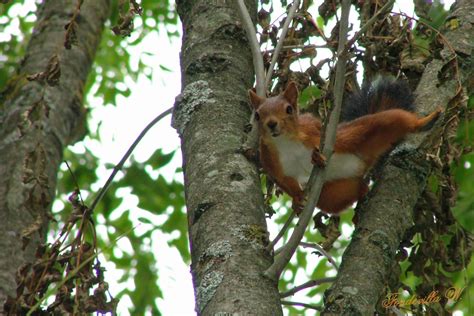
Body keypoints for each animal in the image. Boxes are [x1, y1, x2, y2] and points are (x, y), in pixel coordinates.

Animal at [248, 78, 440, 215]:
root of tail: (364, 164)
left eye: (289, 109)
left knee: (399, 119)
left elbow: (319, 133)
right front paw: (297, 199)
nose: (271, 124)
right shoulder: (270, 162)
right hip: (332, 194)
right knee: (346, 194)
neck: (285, 141)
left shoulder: (312, 128)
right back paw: (363, 192)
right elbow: (284, 182)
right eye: (257, 115)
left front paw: (318, 157)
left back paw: (427, 120)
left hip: (359, 132)